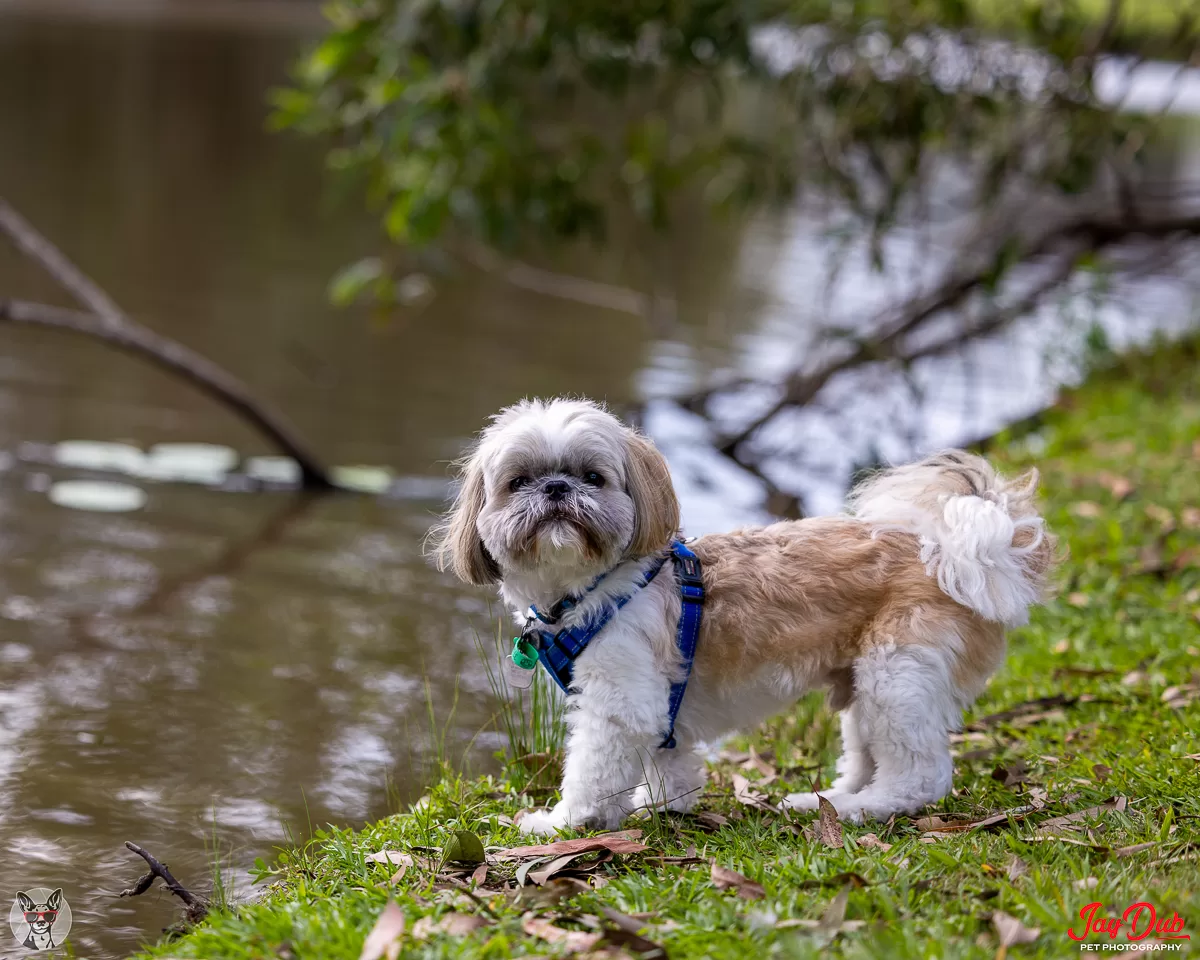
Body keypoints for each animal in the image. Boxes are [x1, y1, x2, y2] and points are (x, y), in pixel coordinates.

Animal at [432, 398, 1051, 830]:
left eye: (592, 477)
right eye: (518, 482)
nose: (556, 488)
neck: (591, 588)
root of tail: (945, 550)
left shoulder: (619, 700)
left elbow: (593, 769)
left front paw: (565, 823)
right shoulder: (660, 707)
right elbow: (669, 759)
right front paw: (663, 804)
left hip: (900, 673)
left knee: (919, 776)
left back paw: (863, 809)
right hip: (867, 683)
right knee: (866, 752)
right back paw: (829, 799)